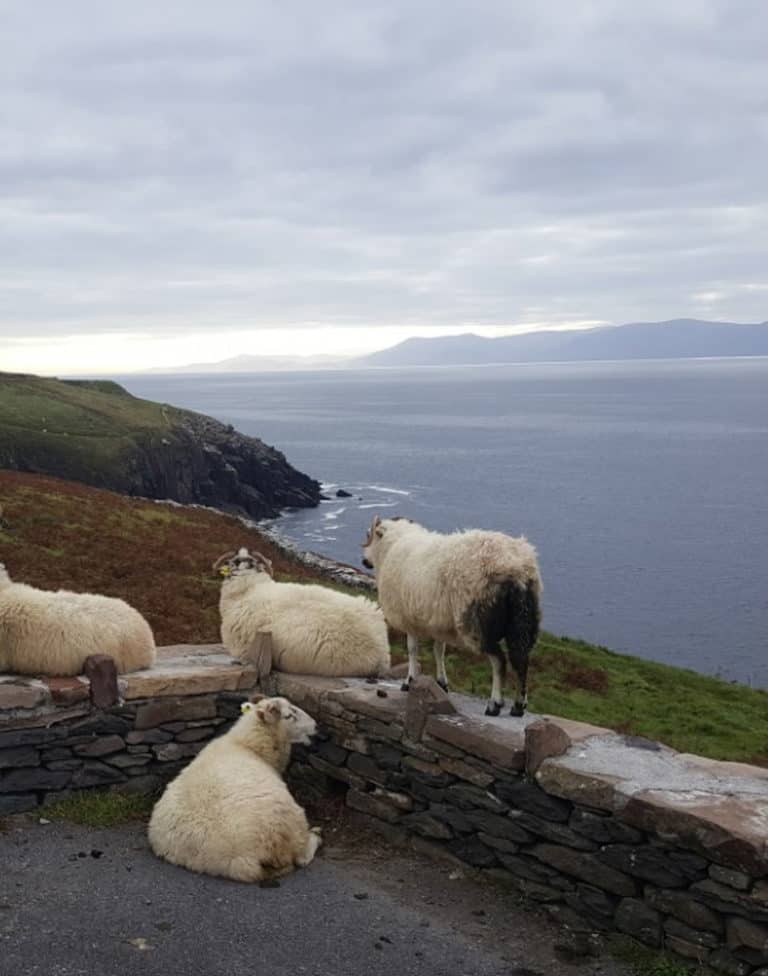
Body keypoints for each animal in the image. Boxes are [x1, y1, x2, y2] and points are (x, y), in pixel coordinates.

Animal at [148, 692, 320, 884]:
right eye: (289, 716)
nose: (316, 726)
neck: (246, 745)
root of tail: (247, 860)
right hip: (292, 822)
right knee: (301, 856)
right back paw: (315, 835)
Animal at [364, 520, 544, 716]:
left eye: (369, 535)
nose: (364, 561)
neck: (391, 545)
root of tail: (515, 568)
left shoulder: (408, 619)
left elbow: (412, 649)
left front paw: (409, 681)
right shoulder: (439, 622)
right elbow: (439, 650)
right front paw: (441, 683)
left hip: (478, 623)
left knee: (499, 662)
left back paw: (494, 704)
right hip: (523, 621)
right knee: (521, 659)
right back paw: (519, 705)